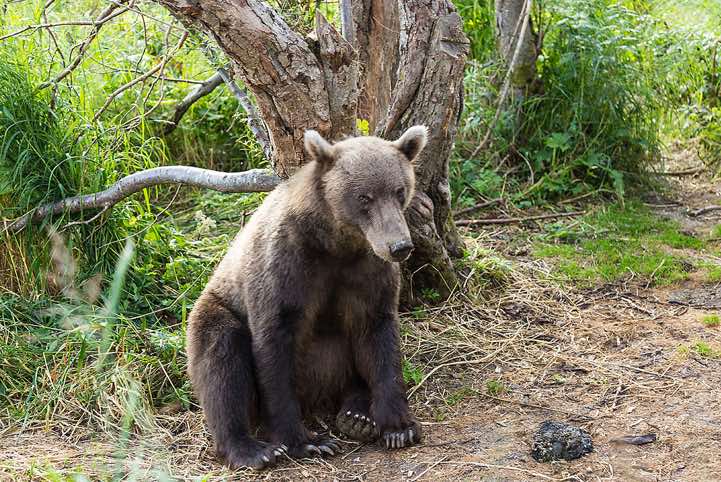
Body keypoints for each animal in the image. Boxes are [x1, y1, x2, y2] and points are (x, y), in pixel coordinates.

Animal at [185, 125, 428, 469]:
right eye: (364, 197)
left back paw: (356, 414)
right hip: (217, 308)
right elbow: (274, 347)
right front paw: (305, 442)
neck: (335, 243)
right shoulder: (286, 267)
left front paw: (399, 427)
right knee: (221, 363)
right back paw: (249, 448)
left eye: (399, 190)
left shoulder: (367, 274)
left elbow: (379, 337)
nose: (399, 246)